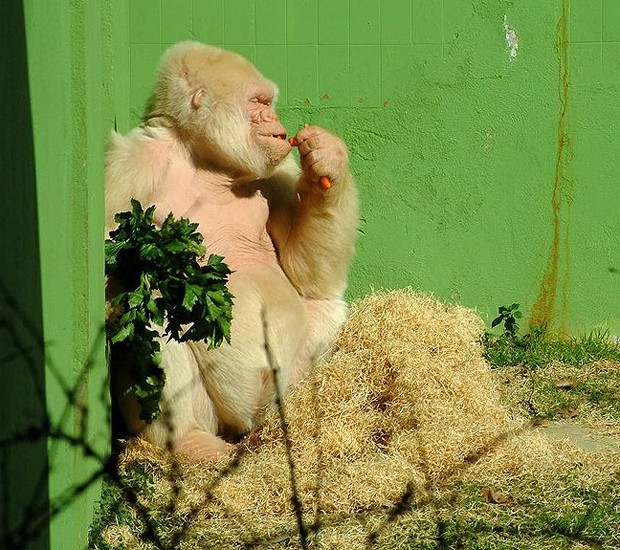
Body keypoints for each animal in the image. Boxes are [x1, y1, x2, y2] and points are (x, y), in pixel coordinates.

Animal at [106, 42, 358, 462]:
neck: (206, 162)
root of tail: (244, 422)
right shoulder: (130, 165)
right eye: (258, 102)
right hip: (214, 418)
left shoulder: (277, 171)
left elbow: (307, 275)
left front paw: (329, 160)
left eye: (268, 103)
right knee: (150, 313)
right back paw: (188, 440)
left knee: (325, 306)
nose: (274, 120)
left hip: (277, 392)